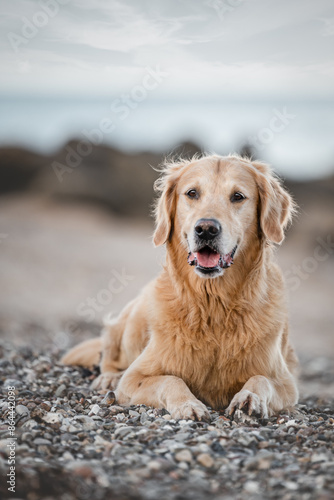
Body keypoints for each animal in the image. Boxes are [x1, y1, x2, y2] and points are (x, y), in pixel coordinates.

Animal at [61, 154, 298, 420]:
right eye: (192, 193)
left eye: (238, 196)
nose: (206, 229)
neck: (213, 305)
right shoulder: (134, 377)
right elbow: (171, 379)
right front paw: (188, 404)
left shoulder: (286, 384)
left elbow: (261, 379)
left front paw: (249, 398)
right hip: (132, 324)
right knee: (109, 354)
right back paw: (108, 378)